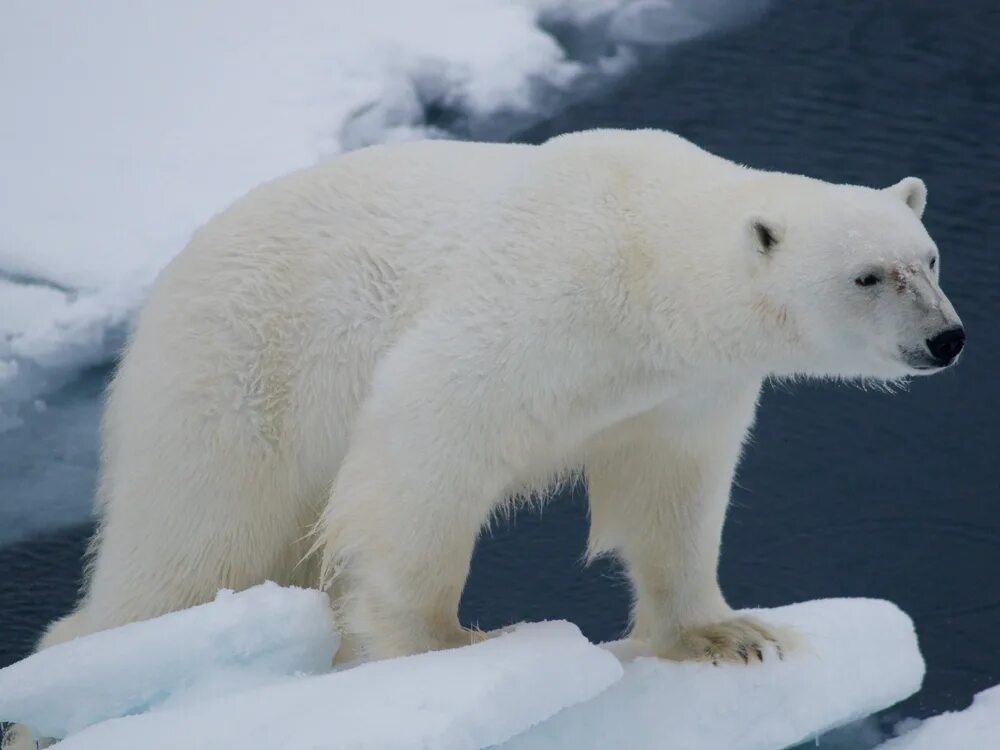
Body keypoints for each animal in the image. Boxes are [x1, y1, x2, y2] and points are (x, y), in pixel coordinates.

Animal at [7, 128, 964, 740]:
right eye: (867, 275)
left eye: (928, 257)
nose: (946, 339)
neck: (648, 253)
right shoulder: (545, 292)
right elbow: (429, 432)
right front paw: (455, 647)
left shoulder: (680, 388)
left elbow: (672, 493)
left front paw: (728, 635)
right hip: (232, 372)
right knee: (190, 548)